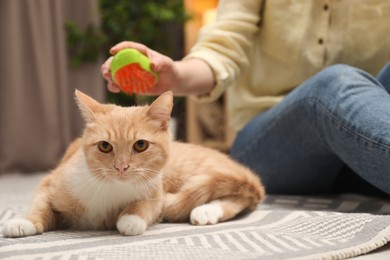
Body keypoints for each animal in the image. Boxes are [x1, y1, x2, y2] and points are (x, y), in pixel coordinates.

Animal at [1, 90, 266, 238]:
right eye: (104, 146)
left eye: (140, 145)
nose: (121, 167)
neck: (108, 188)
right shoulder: (49, 184)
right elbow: (40, 206)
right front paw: (24, 221)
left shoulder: (156, 193)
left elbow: (144, 207)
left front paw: (131, 218)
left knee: (239, 196)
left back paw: (206, 210)